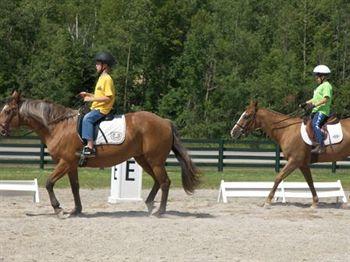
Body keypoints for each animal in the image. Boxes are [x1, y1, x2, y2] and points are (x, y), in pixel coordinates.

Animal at [0, 92, 200, 217]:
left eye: (8, 111)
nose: (1, 129)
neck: (58, 126)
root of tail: (165, 122)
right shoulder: (71, 165)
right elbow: (75, 187)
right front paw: (76, 210)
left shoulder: (65, 162)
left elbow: (49, 183)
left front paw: (58, 209)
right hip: (143, 160)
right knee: (158, 181)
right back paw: (150, 205)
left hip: (155, 161)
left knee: (165, 182)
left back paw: (159, 212)